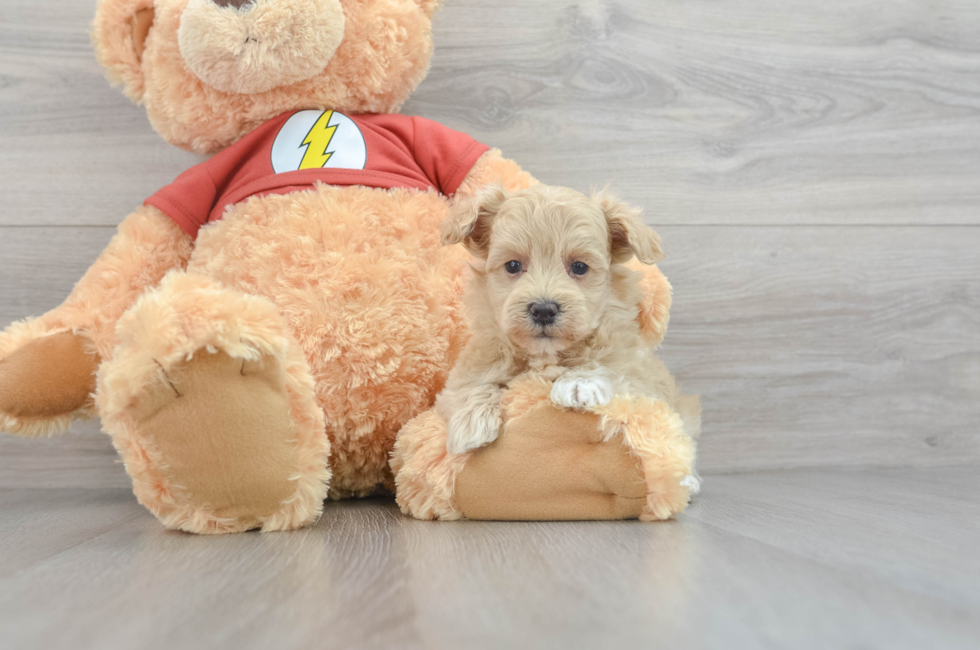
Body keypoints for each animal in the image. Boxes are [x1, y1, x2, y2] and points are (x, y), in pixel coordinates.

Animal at [436, 182, 696, 456]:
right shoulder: (462, 376)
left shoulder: (645, 385)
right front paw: (470, 421)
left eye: (580, 267)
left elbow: (615, 373)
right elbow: (469, 387)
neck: (546, 354)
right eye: (513, 265)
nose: (543, 310)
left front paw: (579, 383)